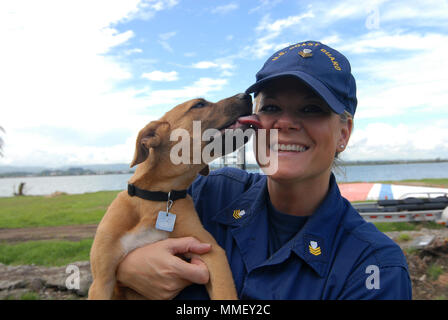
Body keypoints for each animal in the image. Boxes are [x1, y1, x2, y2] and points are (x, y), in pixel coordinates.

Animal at [88, 92, 252, 300]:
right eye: (199, 104)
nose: (247, 95)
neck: (159, 199)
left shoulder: (211, 250)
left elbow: (225, 291)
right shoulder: (102, 280)